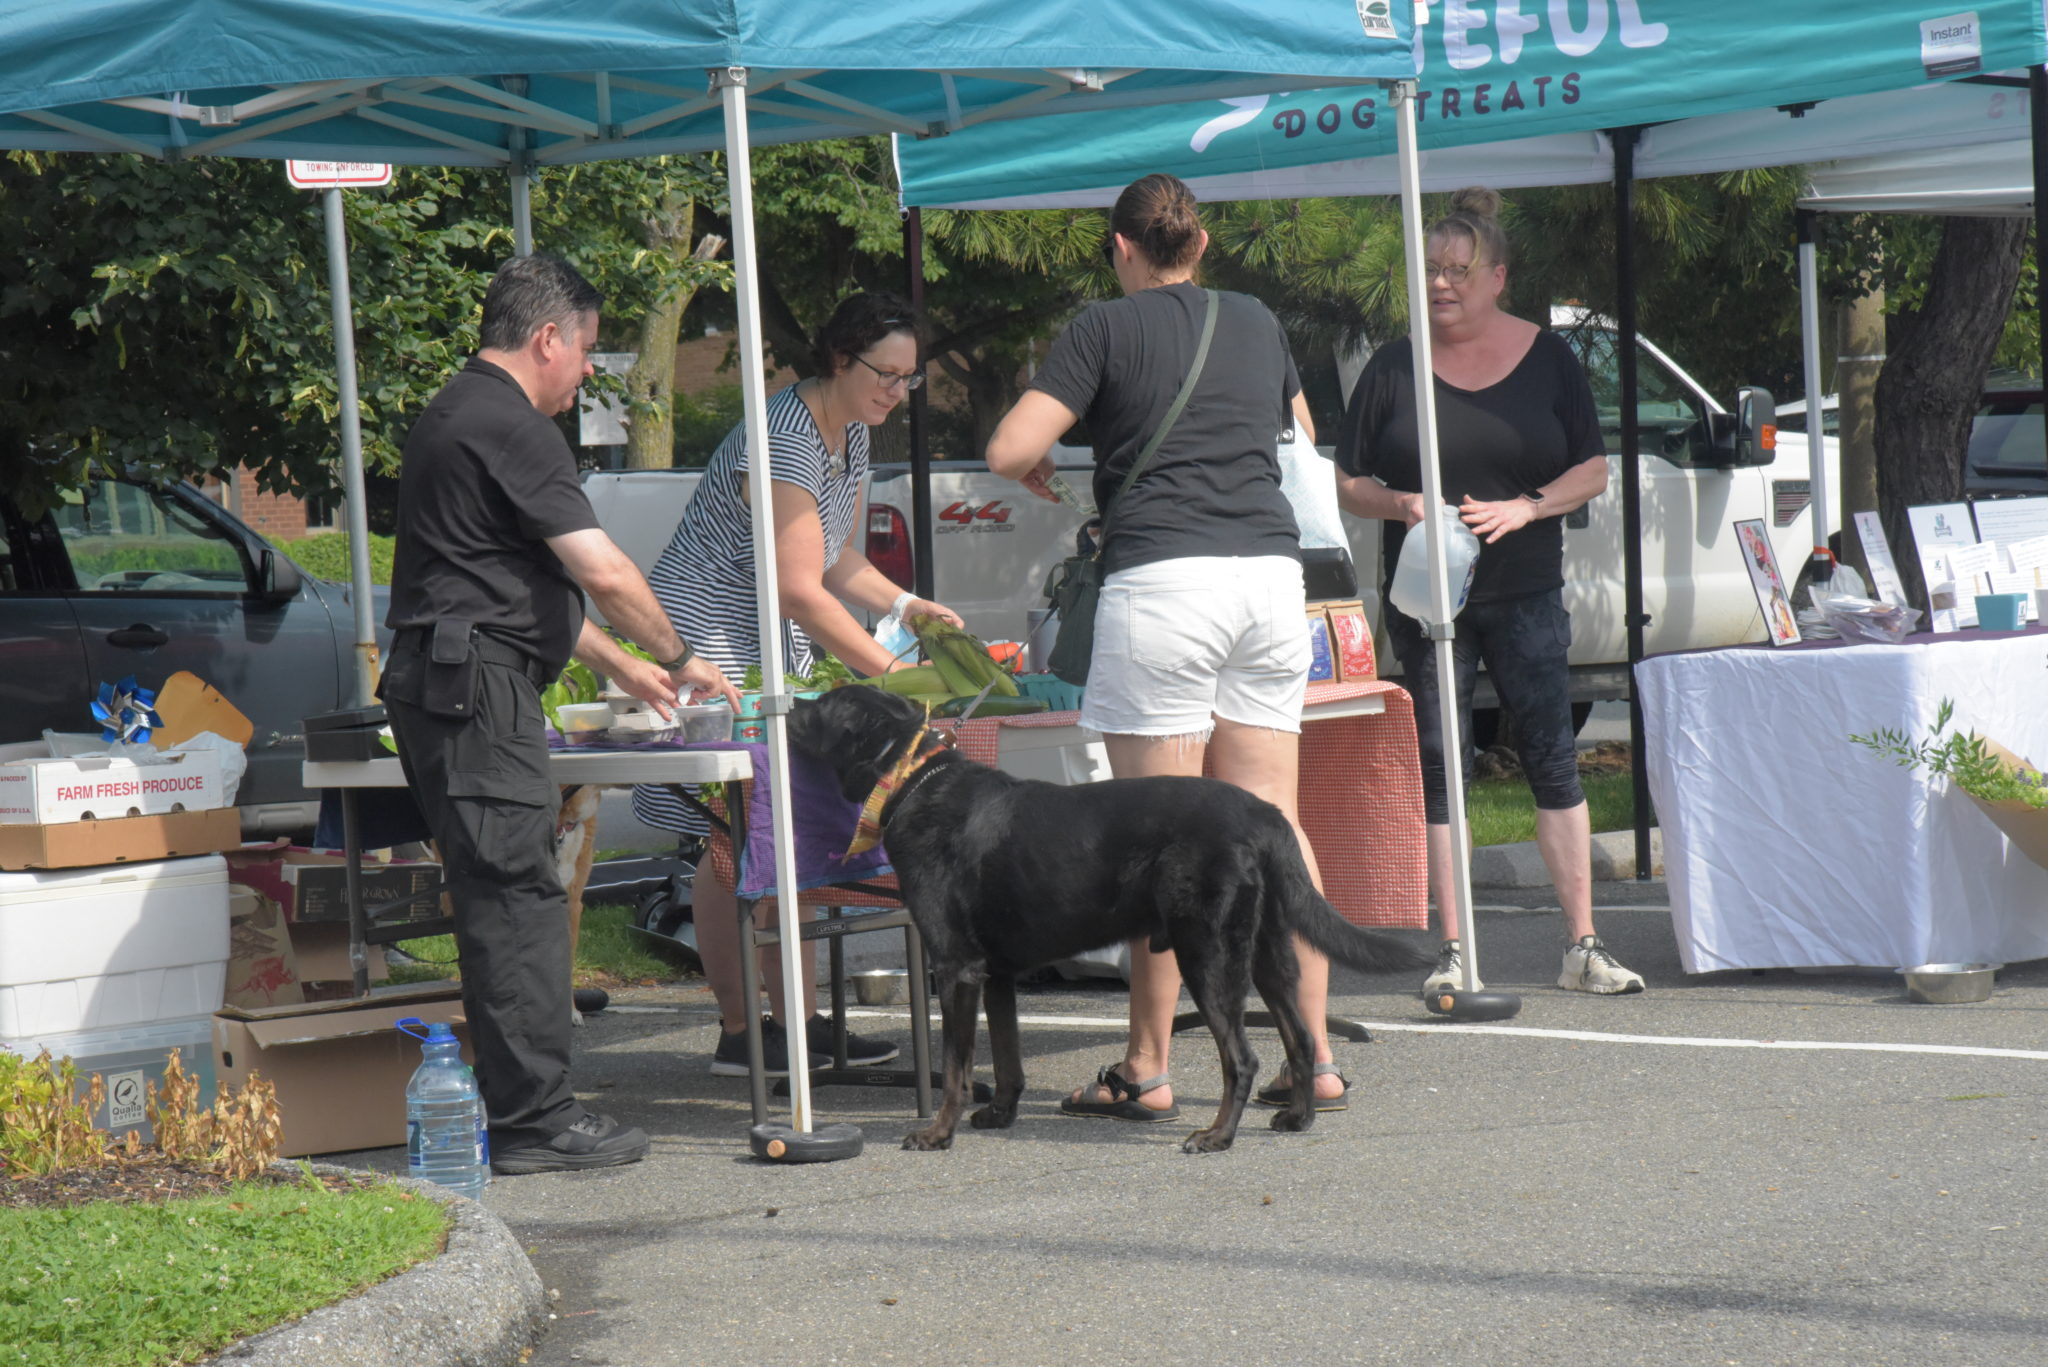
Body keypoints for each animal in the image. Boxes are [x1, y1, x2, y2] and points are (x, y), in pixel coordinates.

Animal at [782, 688, 1425, 1147]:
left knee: (1242, 1057)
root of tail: (1264, 815)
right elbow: (1008, 1059)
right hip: (1268, 955)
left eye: (821, 705)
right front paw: (999, 1114)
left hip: (1208, 954)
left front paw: (939, 1132)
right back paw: (1297, 1120)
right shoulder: (996, 974)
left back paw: (1216, 1136)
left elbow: (956, 1066)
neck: (911, 778)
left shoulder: (957, 967)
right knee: (1301, 1037)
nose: (783, 703)